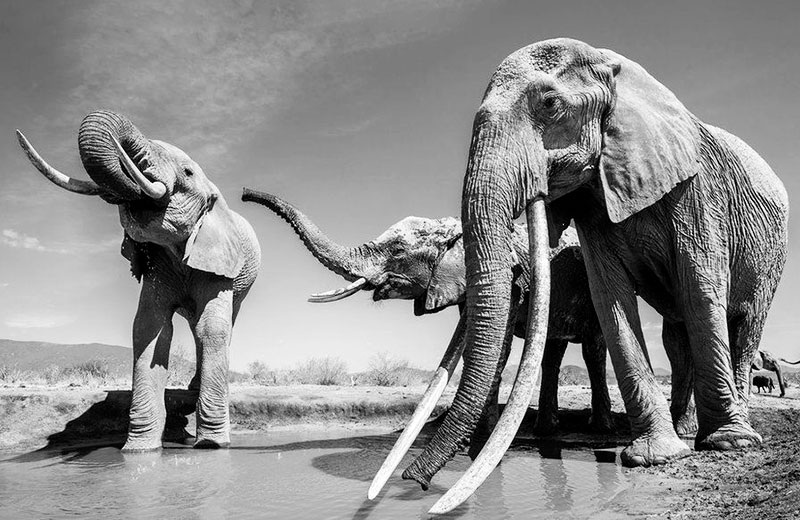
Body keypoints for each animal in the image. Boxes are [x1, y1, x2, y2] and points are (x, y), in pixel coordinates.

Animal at [17, 111, 260, 452]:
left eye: (187, 173)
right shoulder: (157, 264)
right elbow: (150, 327)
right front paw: (139, 450)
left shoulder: (218, 262)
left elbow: (211, 328)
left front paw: (212, 446)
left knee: (216, 326)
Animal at [240, 190, 614, 442]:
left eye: (397, 250)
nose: (244, 193)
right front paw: (477, 434)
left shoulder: (511, 280)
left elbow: (496, 347)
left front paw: (478, 436)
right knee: (553, 351)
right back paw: (546, 430)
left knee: (593, 348)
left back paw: (600, 428)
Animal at [385, 39, 788, 513]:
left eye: (550, 104)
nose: (415, 485)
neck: (616, 69)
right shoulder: (592, 202)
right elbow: (610, 296)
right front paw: (656, 456)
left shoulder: (699, 191)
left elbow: (700, 287)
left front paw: (725, 445)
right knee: (675, 336)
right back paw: (685, 431)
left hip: (773, 256)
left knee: (743, 324)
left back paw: (732, 433)